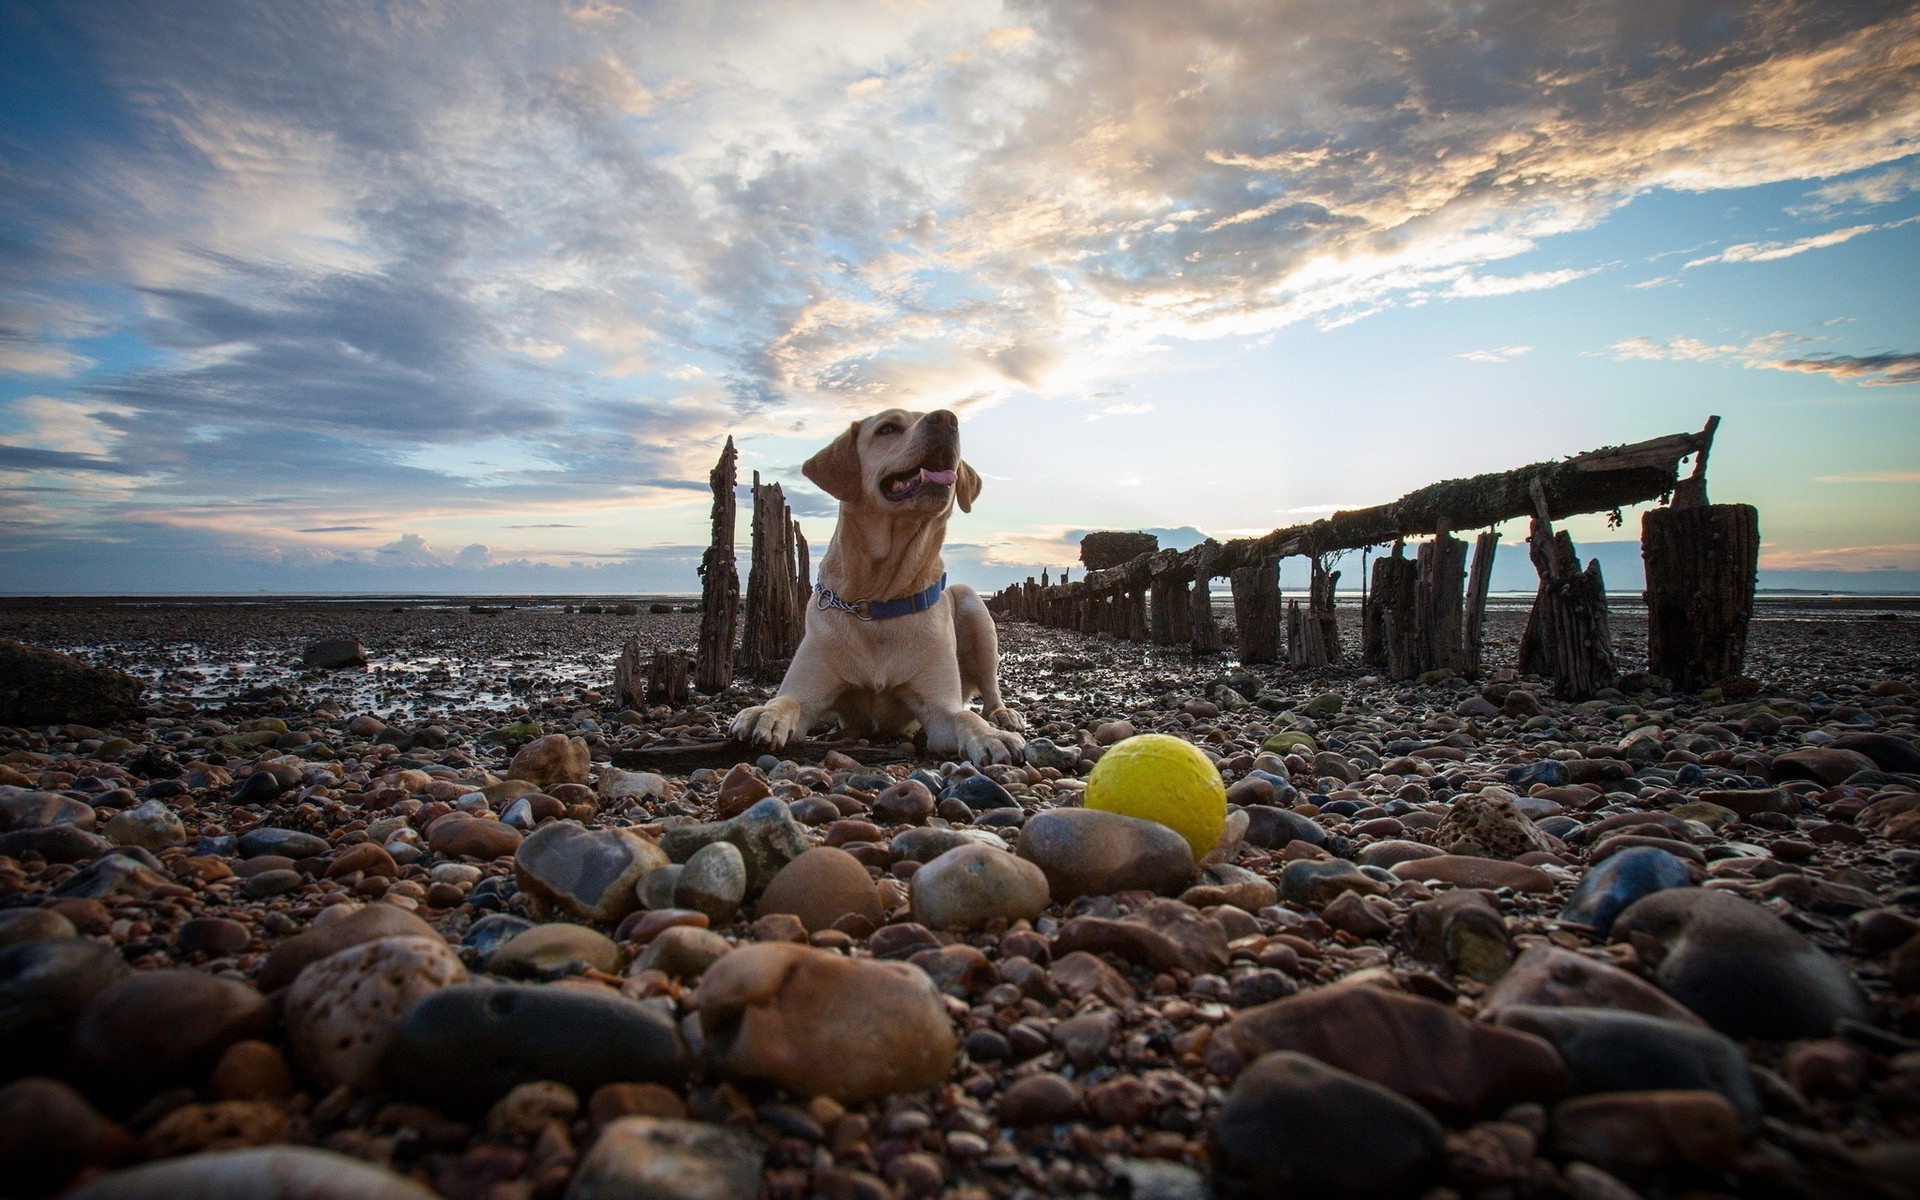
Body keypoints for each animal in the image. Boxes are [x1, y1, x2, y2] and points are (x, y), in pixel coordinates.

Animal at [729, 407, 1029, 764]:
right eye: (887, 429)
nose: (947, 418)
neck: (879, 600)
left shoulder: (939, 709)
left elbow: (964, 717)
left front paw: (990, 736)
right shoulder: (807, 690)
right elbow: (786, 700)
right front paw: (764, 713)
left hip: (972, 605)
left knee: (989, 686)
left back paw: (1003, 716)